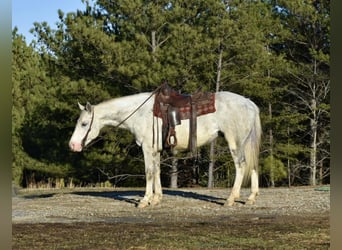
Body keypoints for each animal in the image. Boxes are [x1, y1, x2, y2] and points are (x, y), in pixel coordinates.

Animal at [69, 91, 262, 208]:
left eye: (84, 123)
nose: (73, 145)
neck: (141, 113)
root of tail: (249, 103)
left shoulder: (147, 148)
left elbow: (148, 172)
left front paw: (145, 200)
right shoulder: (156, 150)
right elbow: (157, 171)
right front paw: (156, 199)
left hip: (235, 142)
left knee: (241, 166)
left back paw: (230, 199)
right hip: (246, 143)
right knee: (253, 166)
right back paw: (251, 198)